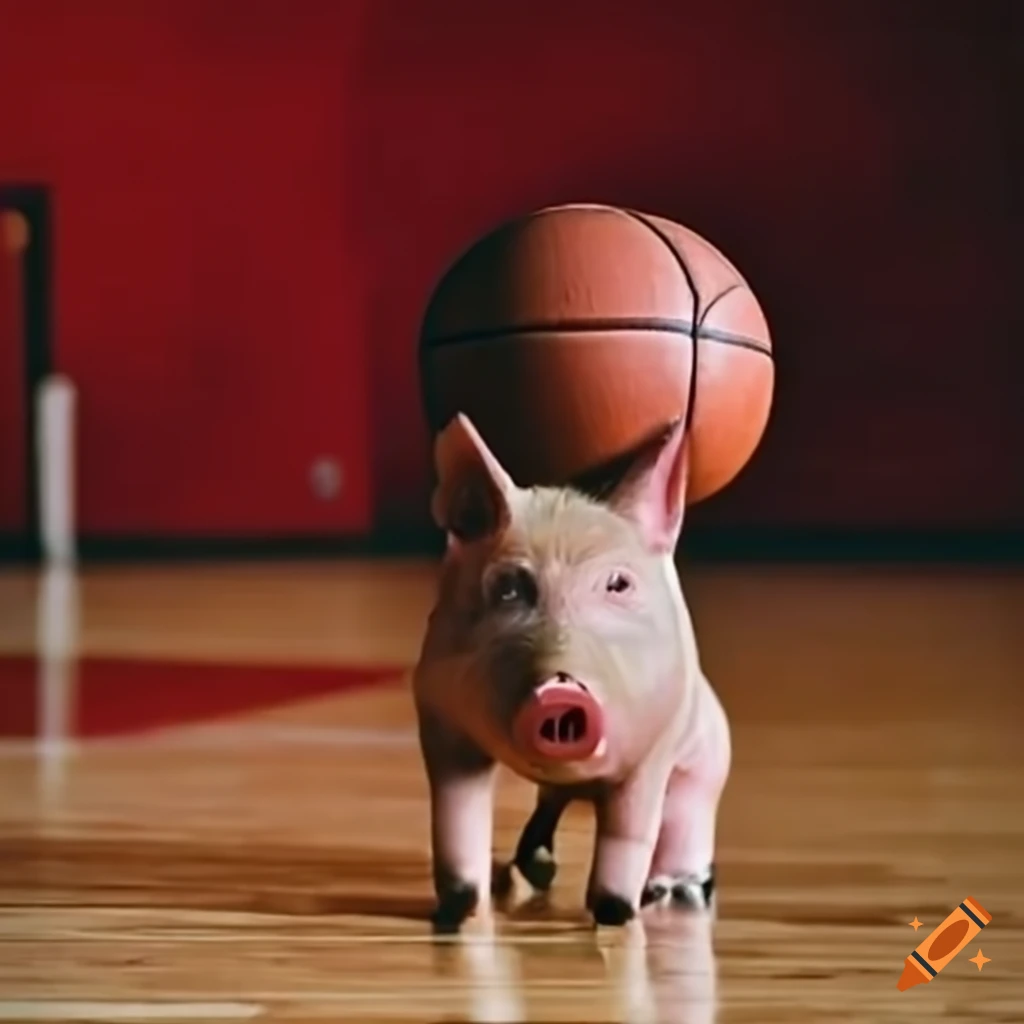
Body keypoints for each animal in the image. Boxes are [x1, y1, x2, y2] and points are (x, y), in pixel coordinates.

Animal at [412, 412, 731, 930]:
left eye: (618, 584)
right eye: (510, 587)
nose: (562, 689)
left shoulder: (653, 752)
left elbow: (629, 836)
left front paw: (616, 914)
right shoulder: (440, 720)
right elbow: (457, 824)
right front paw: (458, 913)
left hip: (708, 766)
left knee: (686, 819)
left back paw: (672, 892)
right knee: (548, 808)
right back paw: (529, 869)